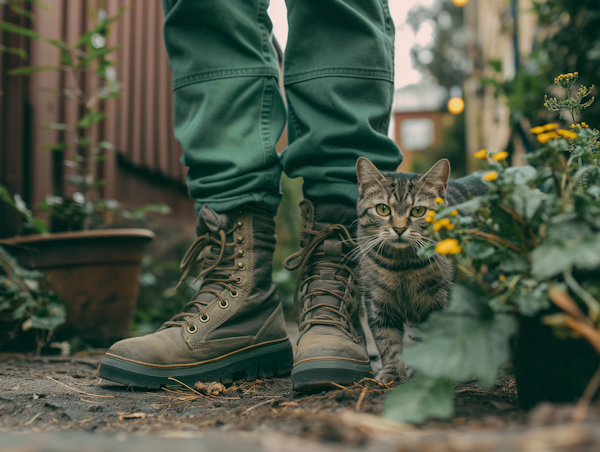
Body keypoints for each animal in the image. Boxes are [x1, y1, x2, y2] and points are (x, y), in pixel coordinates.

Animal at [356, 157, 488, 384]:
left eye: (418, 211)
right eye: (383, 209)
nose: (399, 229)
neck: (402, 267)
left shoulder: (443, 301)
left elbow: (439, 341)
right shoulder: (378, 302)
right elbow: (387, 341)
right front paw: (392, 372)